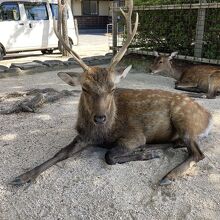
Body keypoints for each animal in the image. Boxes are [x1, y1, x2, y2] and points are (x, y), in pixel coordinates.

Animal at [9, 0, 211, 186]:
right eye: (84, 88)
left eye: (113, 88)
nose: (100, 118)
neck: (102, 134)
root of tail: (208, 116)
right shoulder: (83, 135)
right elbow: (60, 153)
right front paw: (23, 176)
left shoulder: (136, 135)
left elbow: (109, 156)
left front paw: (146, 153)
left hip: (184, 119)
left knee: (198, 153)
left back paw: (168, 175)